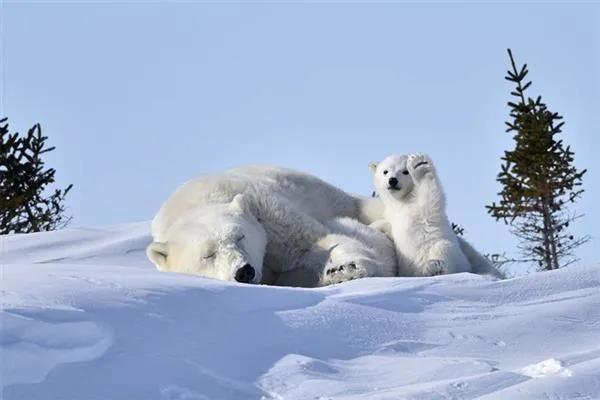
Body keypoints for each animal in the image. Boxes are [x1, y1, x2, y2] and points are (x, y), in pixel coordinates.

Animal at [147, 166, 396, 288]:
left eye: (240, 236)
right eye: (207, 255)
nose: (244, 271)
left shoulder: (266, 212)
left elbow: (313, 242)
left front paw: (346, 268)